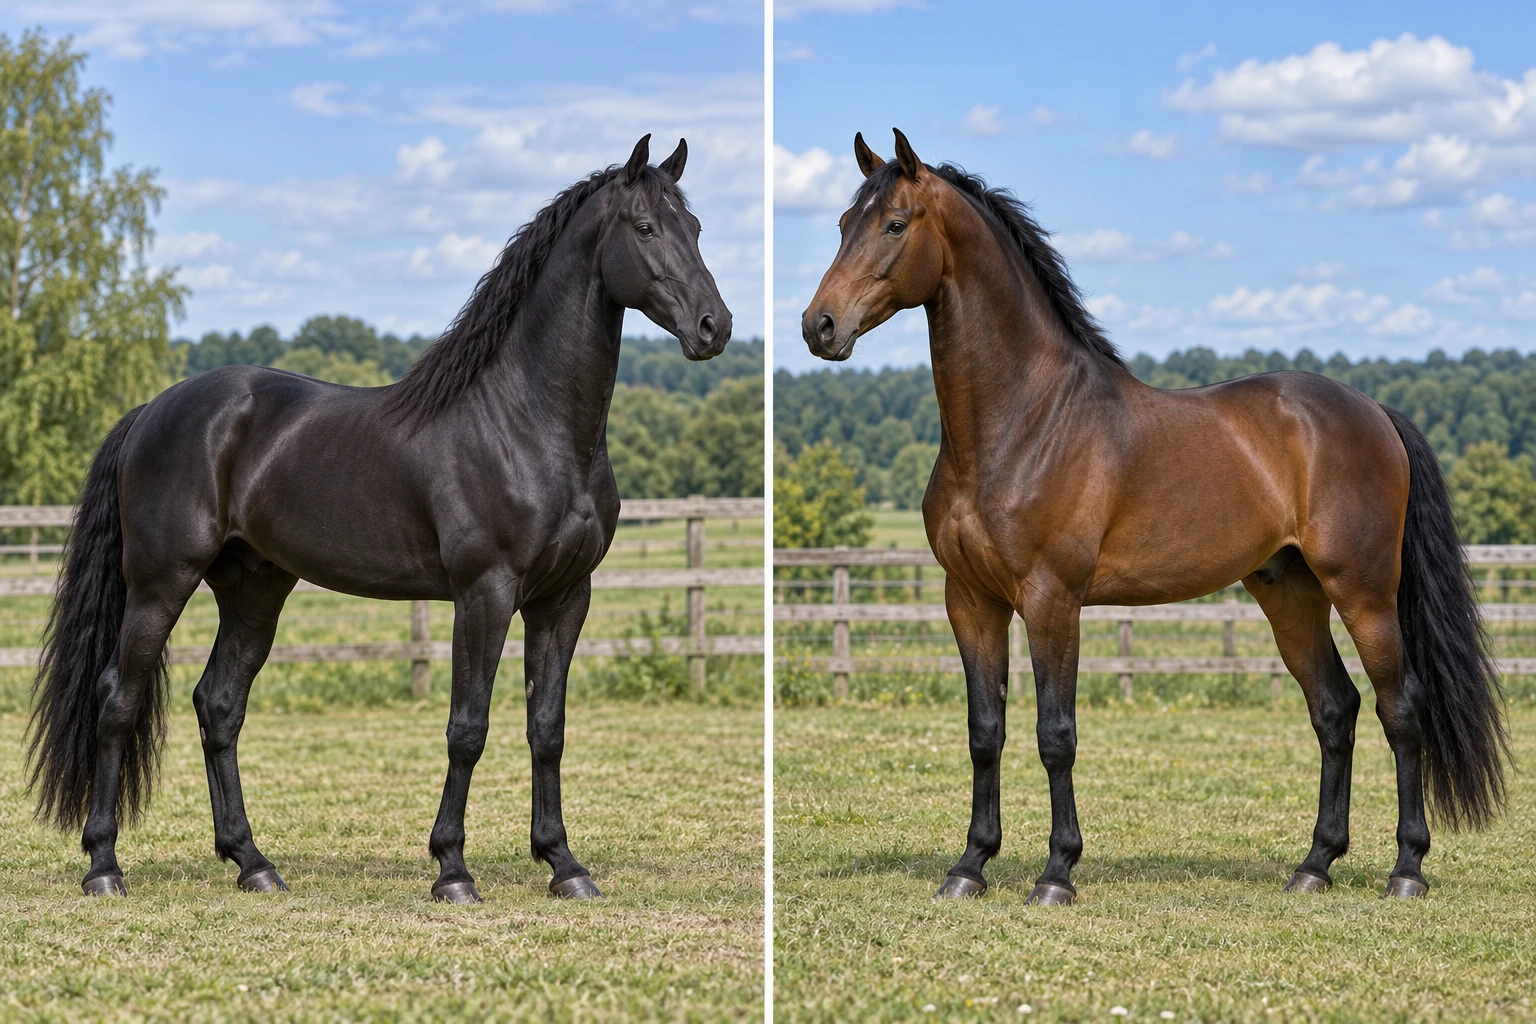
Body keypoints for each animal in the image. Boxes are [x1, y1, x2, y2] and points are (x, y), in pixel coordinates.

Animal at [27, 134, 733, 904]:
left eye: (696, 228)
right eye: (646, 228)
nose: (714, 327)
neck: (525, 423)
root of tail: (153, 411)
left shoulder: (564, 599)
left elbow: (547, 728)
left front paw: (564, 866)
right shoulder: (484, 594)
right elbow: (467, 728)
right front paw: (452, 870)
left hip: (254, 589)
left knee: (218, 705)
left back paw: (253, 863)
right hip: (160, 584)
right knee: (117, 701)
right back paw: (104, 866)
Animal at [800, 129, 1509, 905]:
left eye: (895, 225)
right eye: (842, 224)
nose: (819, 326)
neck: (1021, 422)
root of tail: (1374, 412)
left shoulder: (1052, 599)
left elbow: (1056, 733)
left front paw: (1057, 873)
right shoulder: (972, 600)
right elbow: (986, 730)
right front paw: (969, 866)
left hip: (1364, 591)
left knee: (1399, 710)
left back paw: (1407, 870)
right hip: (1290, 592)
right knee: (1335, 710)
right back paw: (1314, 866)